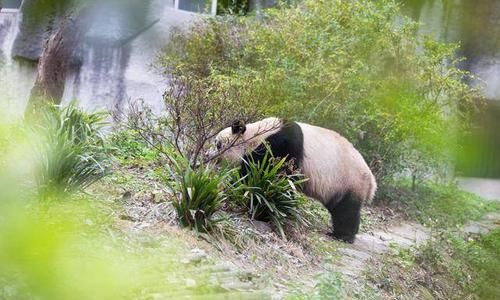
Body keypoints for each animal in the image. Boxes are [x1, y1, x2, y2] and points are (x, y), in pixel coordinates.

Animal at [214, 116, 376, 243]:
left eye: (217, 144)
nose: (209, 155)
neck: (256, 136)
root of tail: (372, 182)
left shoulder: (281, 146)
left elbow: (272, 178)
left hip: (350, 181)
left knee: (346, 209)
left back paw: (343, 236)